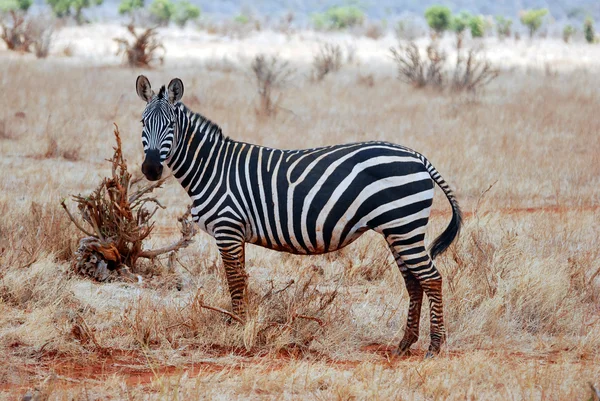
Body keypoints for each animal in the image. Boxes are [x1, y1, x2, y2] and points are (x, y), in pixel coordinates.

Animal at [136, 76, 464, 356]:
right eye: (142, 122)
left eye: (171, 125)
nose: (151, 169)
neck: (211, 168)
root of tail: (417, 156)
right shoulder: (234, 232)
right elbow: (239, 279)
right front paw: (241, 324)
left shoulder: (227, 228)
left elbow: (235, 281)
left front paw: (238, 328)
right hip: (398, 229)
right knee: (414, 281)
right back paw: (405, 344)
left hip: (405, 226)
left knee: (431, 278)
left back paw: (435, 346)